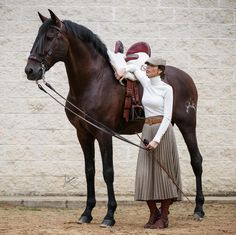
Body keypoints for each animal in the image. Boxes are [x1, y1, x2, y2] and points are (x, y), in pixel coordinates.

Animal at [24, 10, 204, 227]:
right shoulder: (83, 134)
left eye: (50, 36)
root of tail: (186, 77)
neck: (93, 82)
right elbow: (89, 171)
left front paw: (109, 215)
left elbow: (108, 172)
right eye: (38, 36)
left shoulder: (104, 133)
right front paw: (87, 213)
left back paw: (198, 209)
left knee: (197, 161)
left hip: (188, 125)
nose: (30, 70)